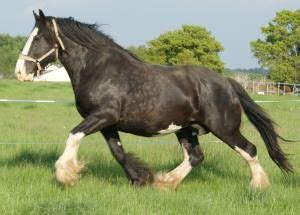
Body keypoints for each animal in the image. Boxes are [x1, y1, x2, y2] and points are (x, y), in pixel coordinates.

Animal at [15, 9, 292, 189]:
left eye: (37, 38)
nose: (20, 72)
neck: (99, 69)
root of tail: (228, 83)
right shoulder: (107, 123)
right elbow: (117, 151)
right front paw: (140, 179)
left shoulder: (103, 116)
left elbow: (73, 136)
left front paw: (65, 175)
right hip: (186, 129)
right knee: (195, 157)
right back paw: (166, 181)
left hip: (224, 128)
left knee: (249, 149)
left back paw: (258, 186)